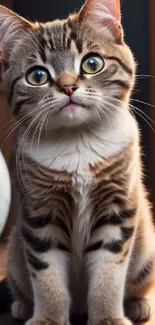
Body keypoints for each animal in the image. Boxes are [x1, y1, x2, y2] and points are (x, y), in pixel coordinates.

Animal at [0, 0, 155, 322]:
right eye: (37, 76)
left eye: (91, 63)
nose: (68, 86)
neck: (78, 142)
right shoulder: (39, 215)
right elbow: (47, 277)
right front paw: (47, 318)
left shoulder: (117, 209)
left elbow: (109, 274)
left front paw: (108, 317)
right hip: (15, 255)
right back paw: (23, 305)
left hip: (147, 246)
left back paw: (138, 304)